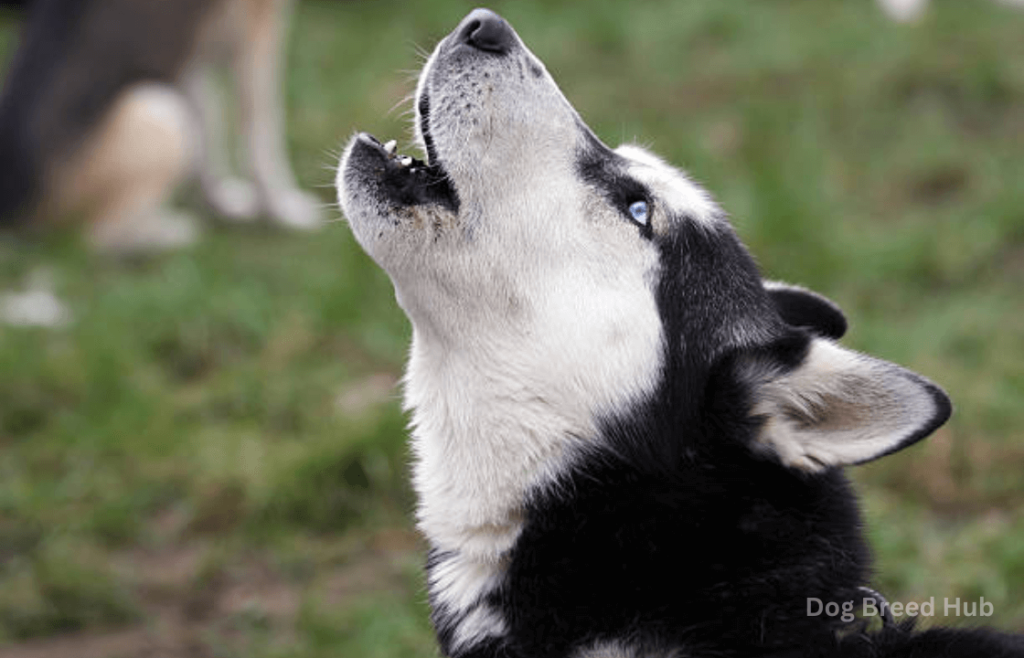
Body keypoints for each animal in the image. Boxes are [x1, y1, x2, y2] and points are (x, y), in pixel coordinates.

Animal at [0, 0, 319, 252]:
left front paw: (222, 204)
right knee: (96, 238)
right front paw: (284, 211)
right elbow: (261, 131)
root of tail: (13, 208)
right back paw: (174, 233)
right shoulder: (258, 28)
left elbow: (209, 131)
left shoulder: (196, 51)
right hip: (161, 112)